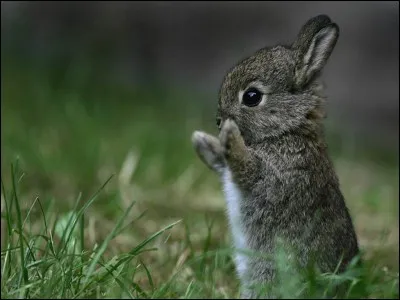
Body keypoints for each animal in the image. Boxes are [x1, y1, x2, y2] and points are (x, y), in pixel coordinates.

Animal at [191, 14, 360, 298]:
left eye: (252, 97)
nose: (219, 121)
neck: (287, 130)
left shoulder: (274, 177)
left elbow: (245, 167)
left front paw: (229, 135)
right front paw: (202, 141)